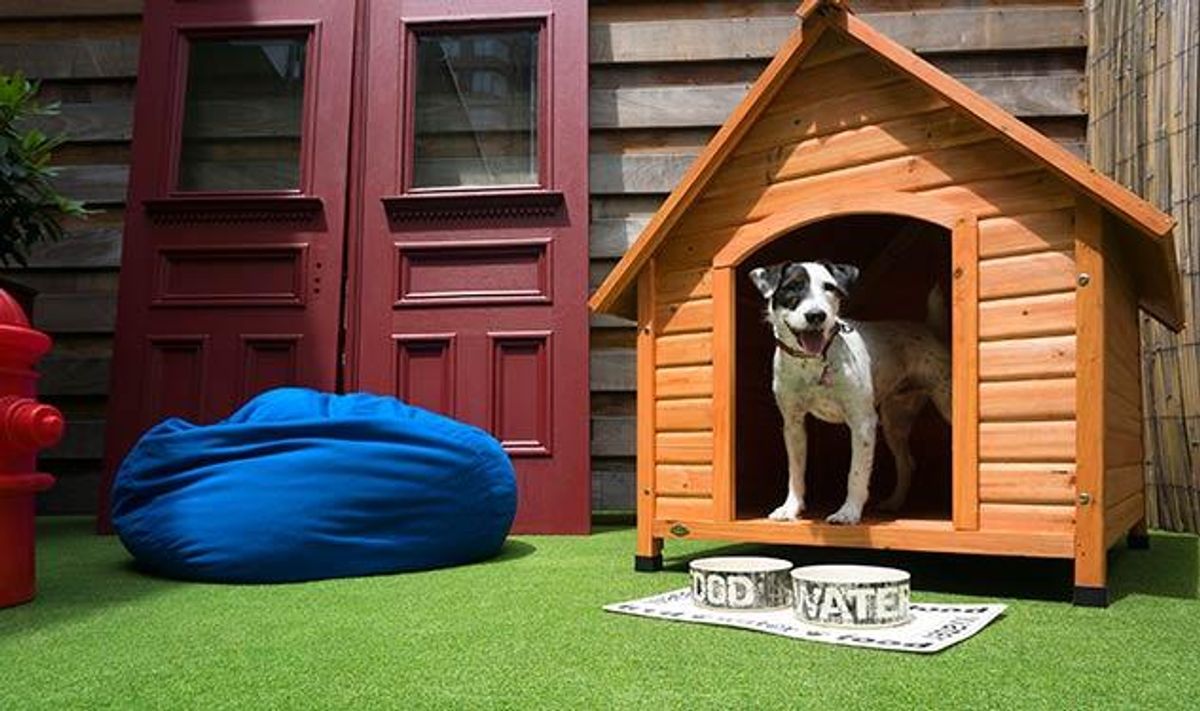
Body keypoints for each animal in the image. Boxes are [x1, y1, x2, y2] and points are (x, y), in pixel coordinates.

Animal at [748, 260, 952, 525]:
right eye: (792, 287)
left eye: (829, 287)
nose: (817, 315)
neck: (813, 362)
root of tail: (930, 329)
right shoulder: (793, 424)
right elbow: (795, 471)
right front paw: (790, 508)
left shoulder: (863, 422)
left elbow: (856, 473)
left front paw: (848, 512)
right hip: (894, 421)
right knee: (907, 463)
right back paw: (893, 503)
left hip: (944, 405)